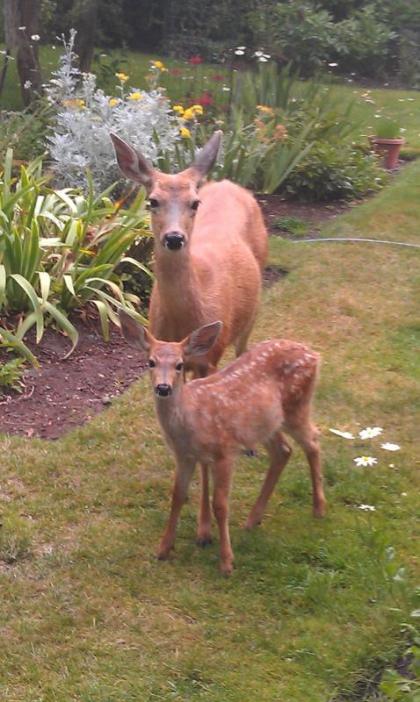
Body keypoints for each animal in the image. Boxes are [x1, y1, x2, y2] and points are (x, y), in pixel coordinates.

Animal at [110, 133, 268, 380]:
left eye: (195, 203)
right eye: (152, 201)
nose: (174, 238)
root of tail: (229, 183)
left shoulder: (210, 357)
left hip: (253, 309)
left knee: (243, 349)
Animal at [120, 314, 326, 576]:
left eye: (179, 364)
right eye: (150, 362)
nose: (163, 388)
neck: (190, 420)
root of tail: (314, 355)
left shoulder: (225, 451)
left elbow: (220, 504)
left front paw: (227, 562)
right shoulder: (184, 456)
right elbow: (178, 495)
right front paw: (164, 549)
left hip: (296, 406)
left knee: (313, 440)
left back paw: (318, 509)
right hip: (265, 424)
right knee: (284, 450)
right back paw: (253, 520)